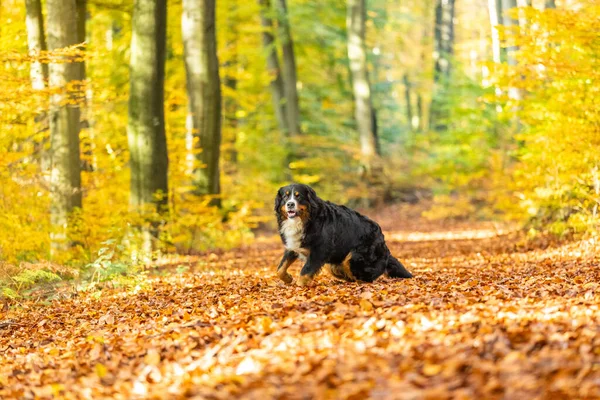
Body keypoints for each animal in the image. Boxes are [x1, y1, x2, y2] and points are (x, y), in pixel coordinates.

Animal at [276, 183, 412, 286]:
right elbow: (280, 269)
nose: (290, 204)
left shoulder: (319, 250)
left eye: (298, 196)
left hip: (354, 257)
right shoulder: (293, 246)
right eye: (285, 197)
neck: (306, 221)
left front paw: (299, 287)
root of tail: (385, 246)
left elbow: (305, 271)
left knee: (365, 277)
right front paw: (288, 278)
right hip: (333, 265)